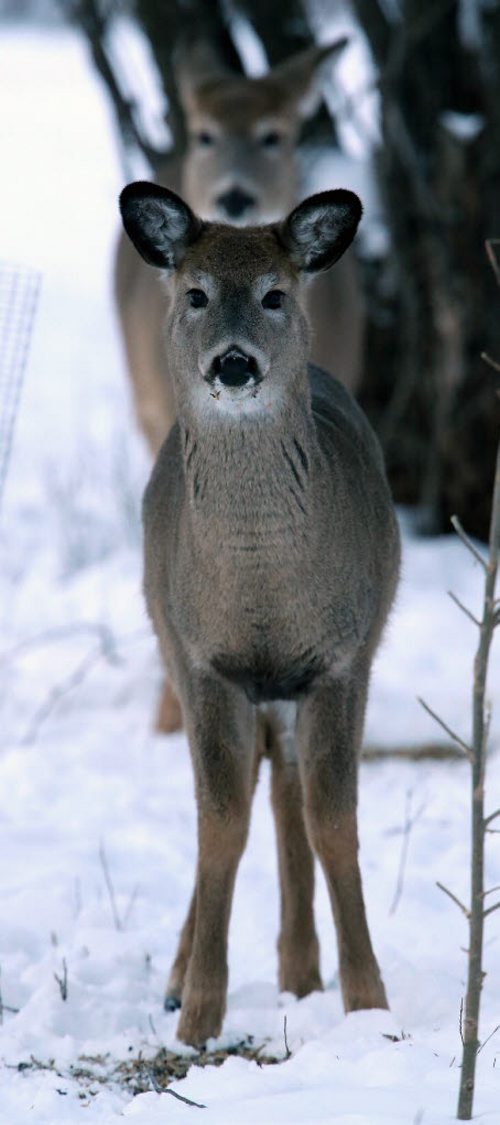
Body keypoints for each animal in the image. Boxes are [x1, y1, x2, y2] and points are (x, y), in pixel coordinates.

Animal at [119, 175, 400, 1044]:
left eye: (276, 294)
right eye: (197, 293)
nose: (235, 361)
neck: (263, 594)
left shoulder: (341, 658)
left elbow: (333, 821)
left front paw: (368, 1002)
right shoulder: (208, 661)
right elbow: (219, 821)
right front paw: (199, 1012)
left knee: (287, 792)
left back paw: (301, 970)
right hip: (168, 631)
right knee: (253, 788)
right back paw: (190, 973)